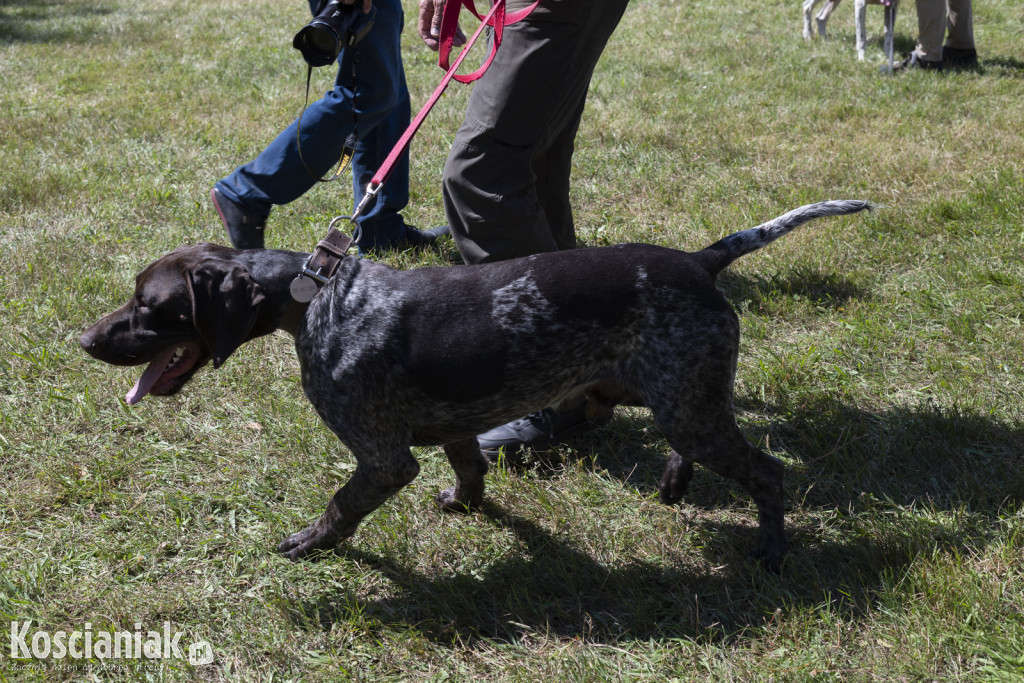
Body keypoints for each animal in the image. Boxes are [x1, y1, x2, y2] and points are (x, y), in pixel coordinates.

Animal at [77, 198, 872, 573]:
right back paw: (677, 482)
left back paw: (771, 550)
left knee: (767, 472)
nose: (84, 339)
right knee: (693, 442)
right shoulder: (455, 424)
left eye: (149, 307)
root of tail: (699, 261)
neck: (318, 296)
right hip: (661, 390)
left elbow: (341, 506)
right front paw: (467, 504)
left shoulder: (382, 458)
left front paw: (312, 542)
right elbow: (470, 469)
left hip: (683, 398)